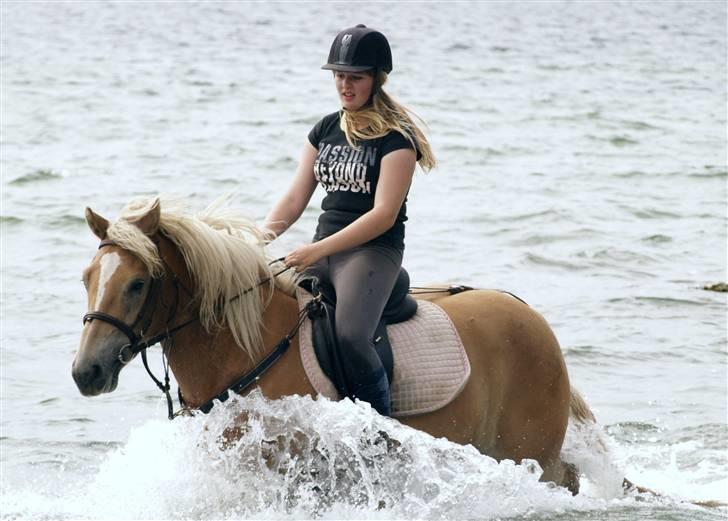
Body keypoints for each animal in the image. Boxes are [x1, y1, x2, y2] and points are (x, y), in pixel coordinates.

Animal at [75, 194, 596, 492]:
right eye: (87, 277)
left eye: (138, 283)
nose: (86, 373)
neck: (247, 350)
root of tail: (533, 319)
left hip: (531, 452)